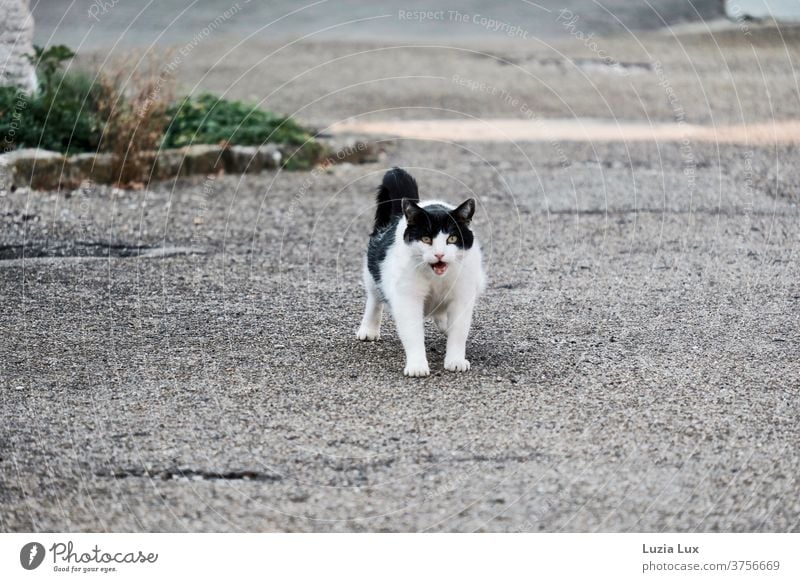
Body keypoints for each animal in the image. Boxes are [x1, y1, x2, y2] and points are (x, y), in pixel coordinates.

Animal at [358, 169, 488, 378]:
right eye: (426, 239)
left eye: (452, 239)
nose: (439, 254)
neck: (436, 278)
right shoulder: (407, 298)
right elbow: (412, 332)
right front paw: (417, 365)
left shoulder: (462, 295)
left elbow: (459, 331)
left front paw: (455, 360)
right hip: (373, 273)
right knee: (374, 298)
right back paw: (368, 329)